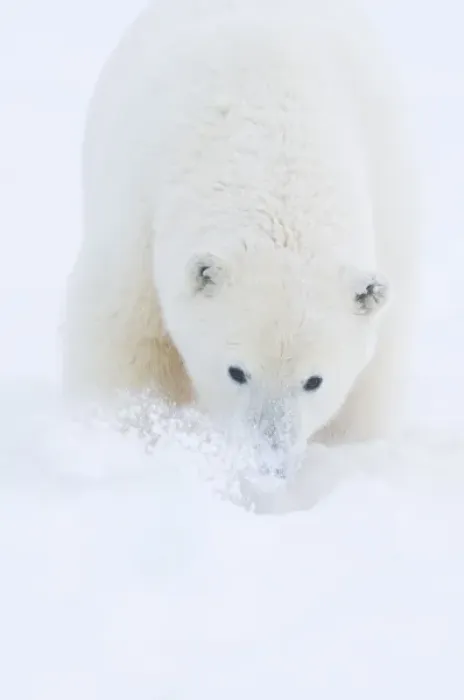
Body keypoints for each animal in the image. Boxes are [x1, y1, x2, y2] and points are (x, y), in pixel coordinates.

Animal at [63, 0, 419, 461]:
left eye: (314, 380)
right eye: (237, 372)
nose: (270, 461)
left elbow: (370, 377)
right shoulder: (139, 212)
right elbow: (123, 338)